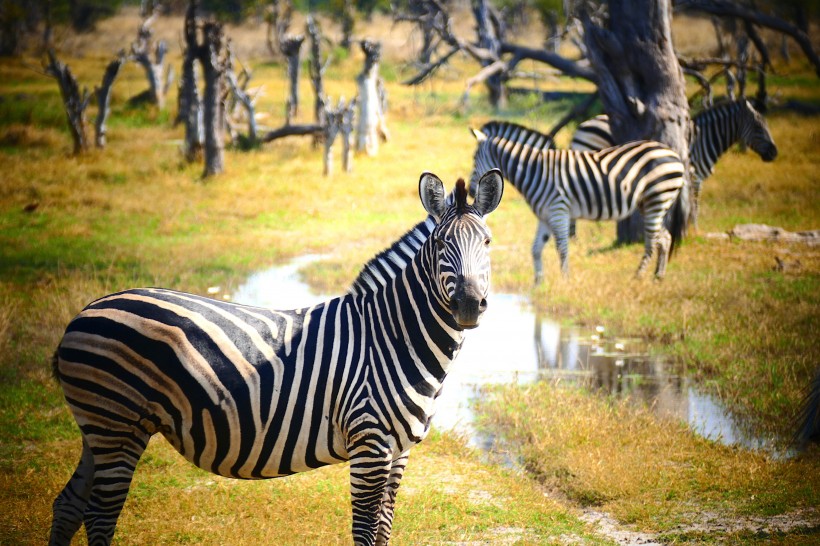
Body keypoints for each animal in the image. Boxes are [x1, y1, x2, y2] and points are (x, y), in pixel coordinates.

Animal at [49, 169, 506, 544]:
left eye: (486, 243)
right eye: (442, 243)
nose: (469, 305)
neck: (392, 337)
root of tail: (85, 311)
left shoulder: (399, 452)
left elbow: (384, 531)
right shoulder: (369, 442)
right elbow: (365, 532)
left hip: (104, 427)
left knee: (68, 505)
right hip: (116, 424)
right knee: (100, 516)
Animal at [470, 119, 688, 280]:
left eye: (473, 159)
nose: (472, 192)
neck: (535, 171)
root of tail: (674, 154)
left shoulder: (558, 211)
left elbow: (562, 248)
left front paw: (565, 281)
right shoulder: (545, 216)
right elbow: (536, 249)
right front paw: (538, 283)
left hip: (657, 198)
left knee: (652, 242)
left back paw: (638, 276)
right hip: (650, 203)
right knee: (665, 238)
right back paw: (658, 275)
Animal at [572, 98, 776, 225]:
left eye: (766, 126)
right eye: (759, 128)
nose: (774, 153)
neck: (703, 140)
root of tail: (582, 126)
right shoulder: (694, 176)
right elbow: (694, 203)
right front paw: (693, 227)